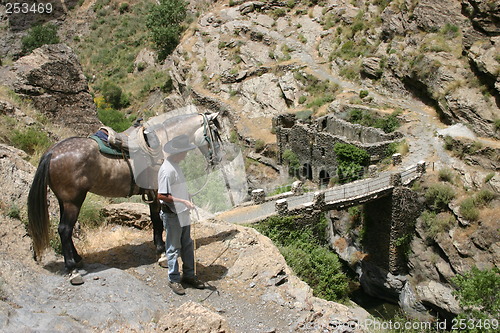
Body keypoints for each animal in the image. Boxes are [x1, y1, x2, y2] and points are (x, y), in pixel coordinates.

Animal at [27, 110, 222, 284]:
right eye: (215, 133)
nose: (218, 159)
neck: (162, 145)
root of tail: (52, 152)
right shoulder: (157, 192)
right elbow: (157, 221)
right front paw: (161, 253)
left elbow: (156, 220)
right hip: (73, 201)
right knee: (65, 230)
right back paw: (73, 270)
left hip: (64, 201)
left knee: (65, 230)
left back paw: (78, 259)